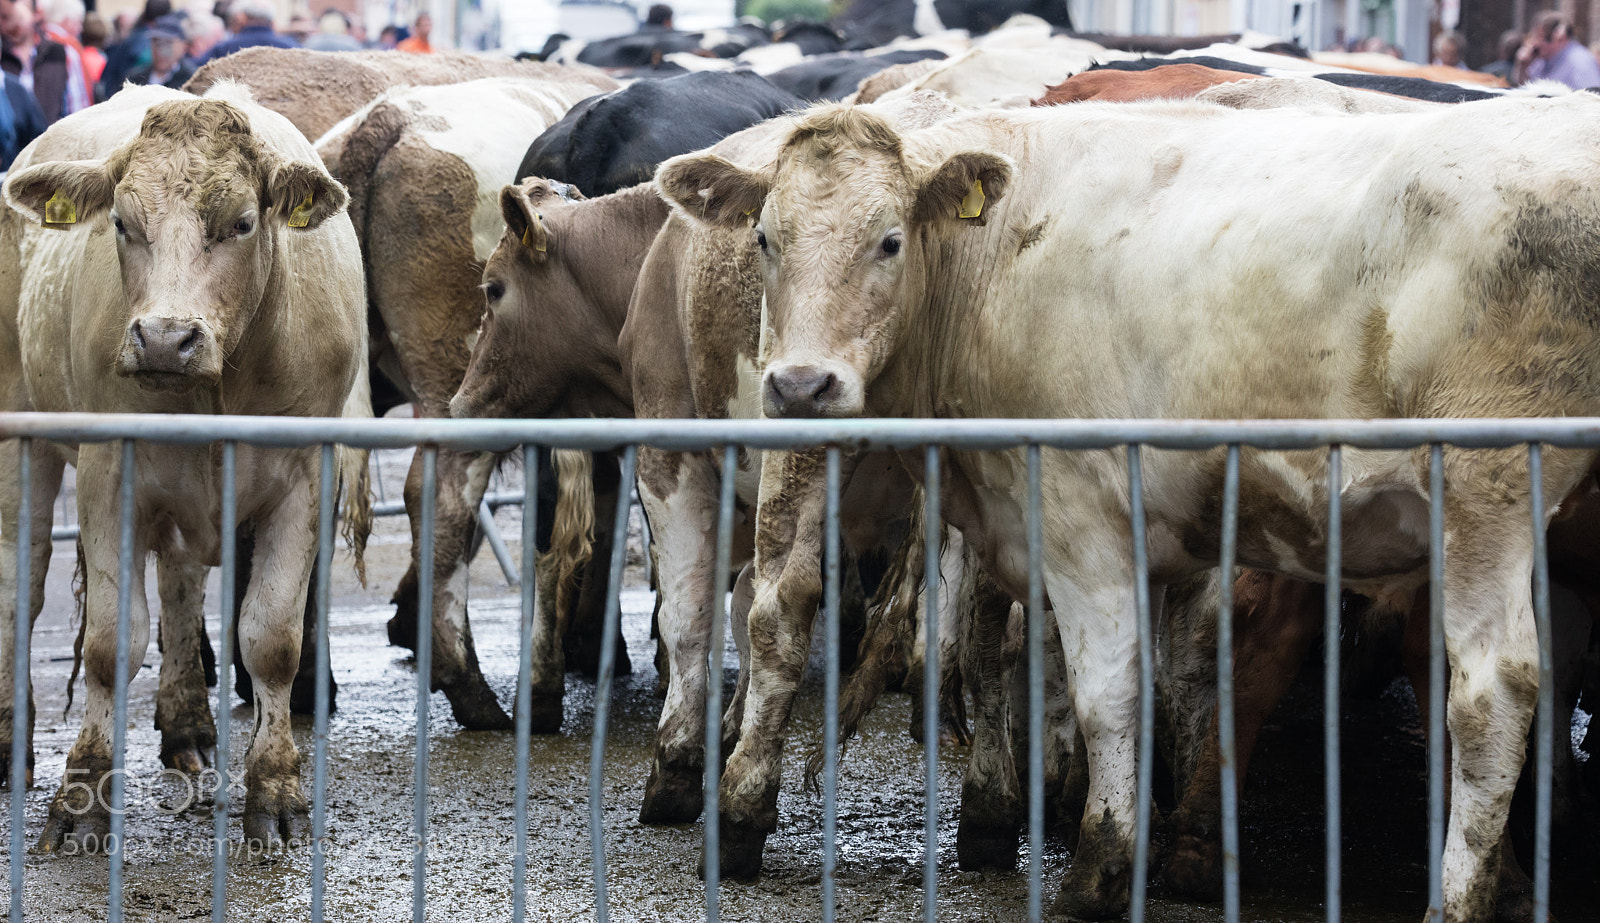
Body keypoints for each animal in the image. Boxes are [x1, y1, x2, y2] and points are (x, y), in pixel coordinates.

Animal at [0, 83, 369, 849]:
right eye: (120, 221)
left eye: (243, 223)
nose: (165, 339)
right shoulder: (108, 470)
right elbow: (111, 641)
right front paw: (82, 794)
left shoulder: (302, 478)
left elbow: (272, 639)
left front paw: (275, 790)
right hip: (24, 441)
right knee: (18, 586)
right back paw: (9, 741)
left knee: (177, 583)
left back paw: (189, 726)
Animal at [656, 95, 1600, 920]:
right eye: (765, 237)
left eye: (889, 240)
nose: (800, 385)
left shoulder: (1081, 516)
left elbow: (1107, 690)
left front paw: (1099, 870)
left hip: (1488, 490)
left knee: (1492, 692)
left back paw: (1460, 898)